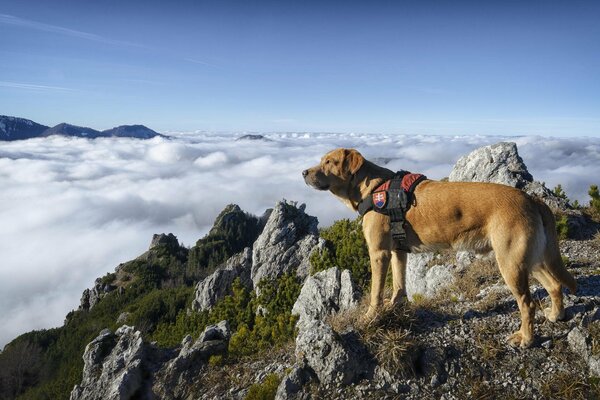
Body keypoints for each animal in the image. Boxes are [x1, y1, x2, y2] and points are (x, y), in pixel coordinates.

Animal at [304, 148, 576, 346]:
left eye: (329, 162)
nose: (304, 172)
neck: (372, 187)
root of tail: (531, 198)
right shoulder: (398, 252)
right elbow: (399, 285)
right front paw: (396, 306)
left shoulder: (379, 254)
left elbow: (375, 293)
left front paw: (371, 317)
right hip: (530, 259)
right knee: (554, 285)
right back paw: (556, 315)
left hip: (511, 263)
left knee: (527, 303)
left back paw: (526, 339)